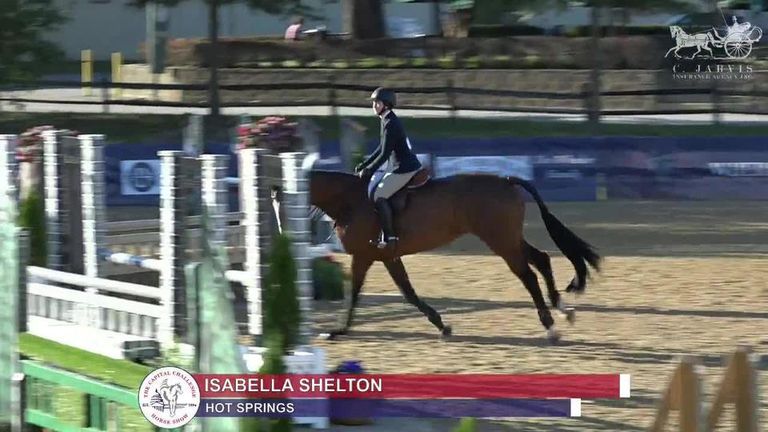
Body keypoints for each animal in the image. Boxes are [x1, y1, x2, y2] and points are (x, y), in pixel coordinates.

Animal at [305, 161, 602, 344]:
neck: (350, 200)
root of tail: (506, 180)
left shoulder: (364, 256)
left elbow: (353, 294)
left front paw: (337, 330)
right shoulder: (387, 256)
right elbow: (408, 292)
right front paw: (442, 326)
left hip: (500, 241)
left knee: (527, 275)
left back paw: (550, 327)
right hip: (508, 238)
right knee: (541, 259)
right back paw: (563, 310)